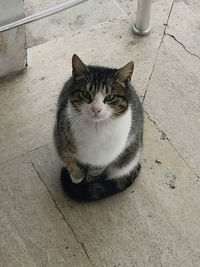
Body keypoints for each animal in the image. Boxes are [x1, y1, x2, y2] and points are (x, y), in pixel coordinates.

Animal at [54, 54, 143, 201]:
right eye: (86, 94)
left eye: (110, 97)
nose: (96, 109)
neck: (96, 128)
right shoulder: (60, 136)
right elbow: (69, 160)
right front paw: (76, 177)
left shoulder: (104, 157)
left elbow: (94, 173)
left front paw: (86, 183)